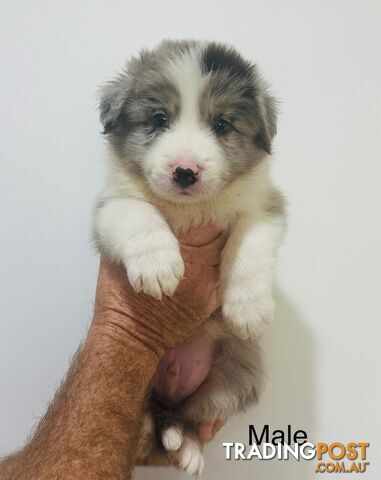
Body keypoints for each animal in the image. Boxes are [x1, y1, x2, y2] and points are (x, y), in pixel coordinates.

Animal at [94, 39, 284, 474]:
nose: (185, 171)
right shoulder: (109, 207)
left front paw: (248, 309)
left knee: (185, 417)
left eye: (222, 125)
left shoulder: (265, 206)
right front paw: (158, 266)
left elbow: (250, 246)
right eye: (159, 119)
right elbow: (138, 215)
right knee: (149, 424)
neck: (189, 211)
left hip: (233, 379)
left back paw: (188, 448)